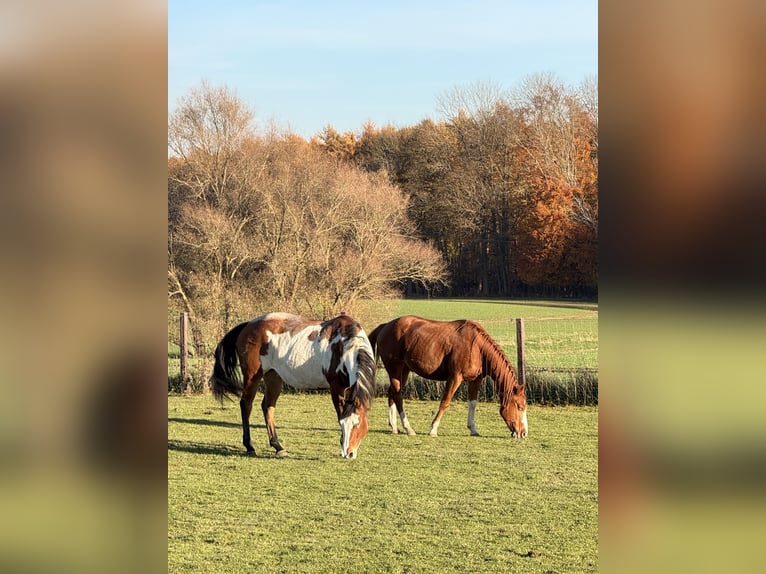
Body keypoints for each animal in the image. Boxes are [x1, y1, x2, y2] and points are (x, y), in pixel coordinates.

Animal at [209, 312, 376, 459]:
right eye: (342, 425)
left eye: (357, 424)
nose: (348, 453)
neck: (345, 344)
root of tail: (249, 325)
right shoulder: (336, 387)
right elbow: (339, 412)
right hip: (252, 376)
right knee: (246, 405)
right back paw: (249, 446)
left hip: (273, 377)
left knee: (267, 406)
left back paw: (278, 447)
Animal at [368, 315, 528, 438]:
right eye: (520, 407)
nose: (523, 433)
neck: (477, 347)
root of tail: (385, 326)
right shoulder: (455, 377)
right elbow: (445, 402)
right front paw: (433, 429)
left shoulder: (475, 380)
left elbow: (472, 403)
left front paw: (473, 429)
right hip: (395, 369)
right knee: (398, 395)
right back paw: (408, 428)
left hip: (404, 370)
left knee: (392, 393)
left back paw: (394, 427)